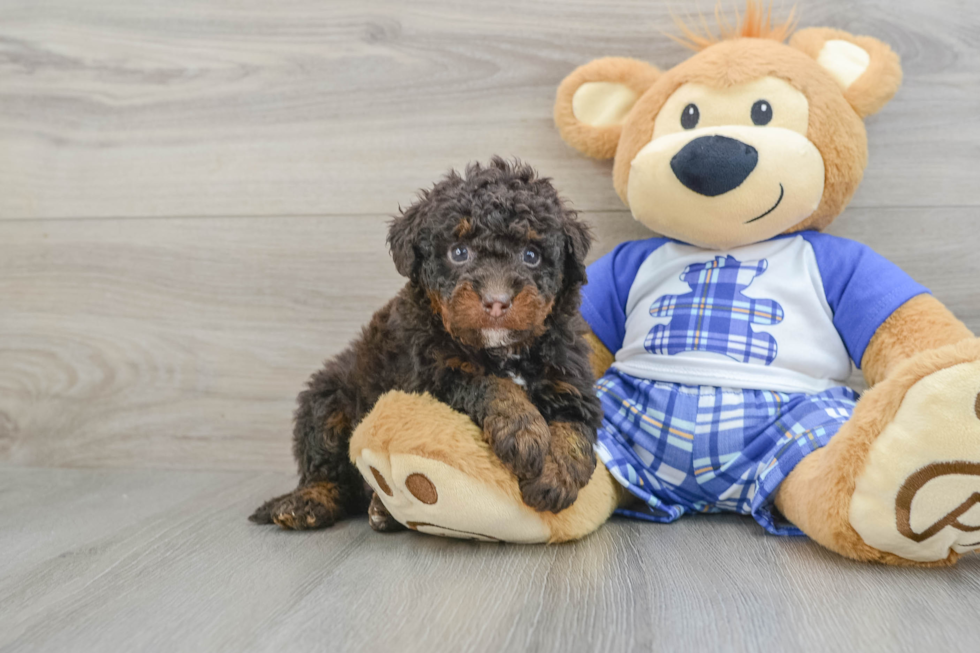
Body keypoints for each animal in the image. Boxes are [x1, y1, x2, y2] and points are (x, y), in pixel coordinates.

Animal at [249, 157, 600, 528]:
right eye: (458, 252)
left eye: (531, 255)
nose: (496, 301)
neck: (502, 349)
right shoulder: (433, 376)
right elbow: (490, 384)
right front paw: (524, 432)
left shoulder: (570, 381)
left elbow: (574, 430)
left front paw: (555, 477)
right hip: (328, 399)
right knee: (328, 471)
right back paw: (308, 503)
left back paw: (380, 509)